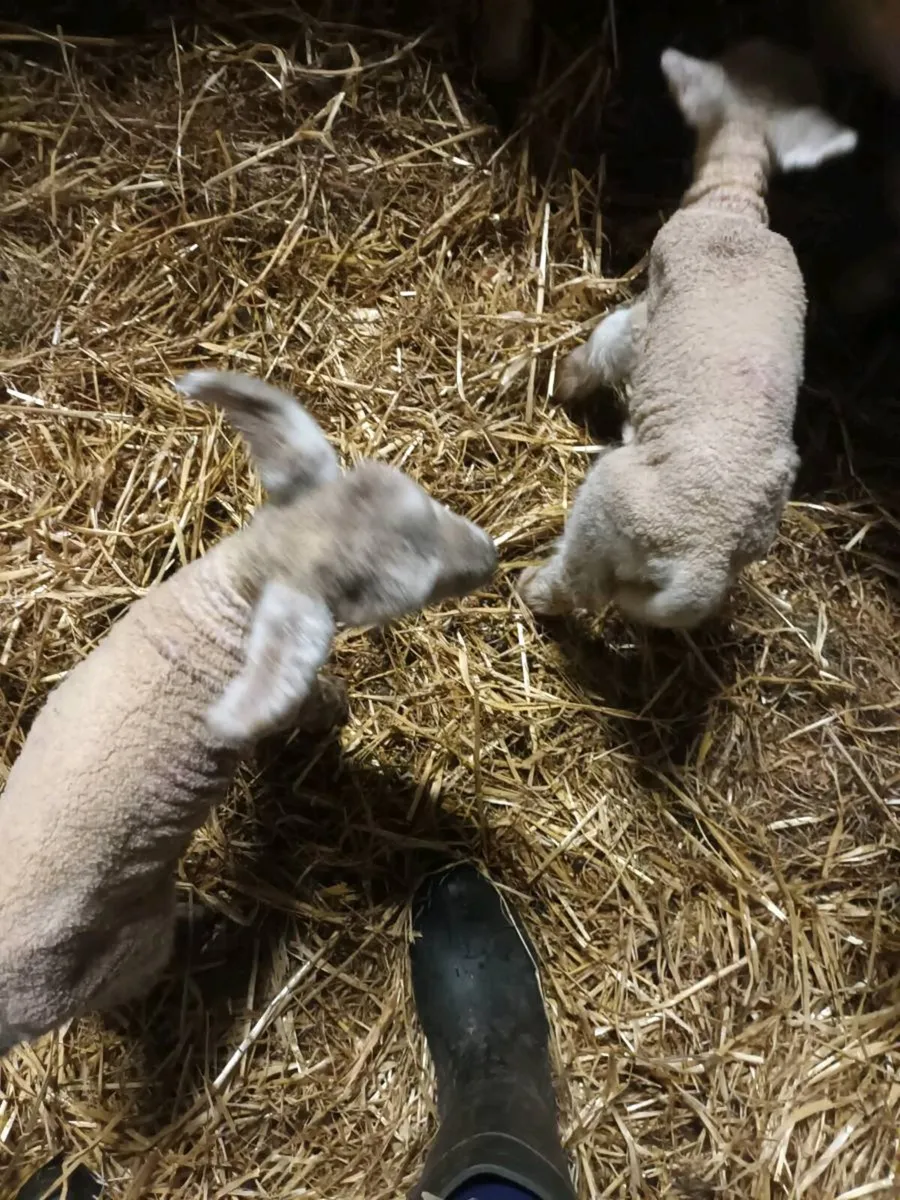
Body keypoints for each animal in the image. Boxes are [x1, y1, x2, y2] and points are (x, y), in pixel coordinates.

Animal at [0, 369, 497, 1055]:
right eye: (408, 595)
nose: (491, 556)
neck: (237, 584)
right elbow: (308, 701)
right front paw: (335, 710)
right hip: (118, 954)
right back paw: (203, 923)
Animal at [519, 40, 857, 630]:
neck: (734, 207)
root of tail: (703, 560)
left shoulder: (648, 309)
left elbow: (607, 344)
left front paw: (564, 379)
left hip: (608, 508)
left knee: (579, 582)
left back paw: (531, 588)